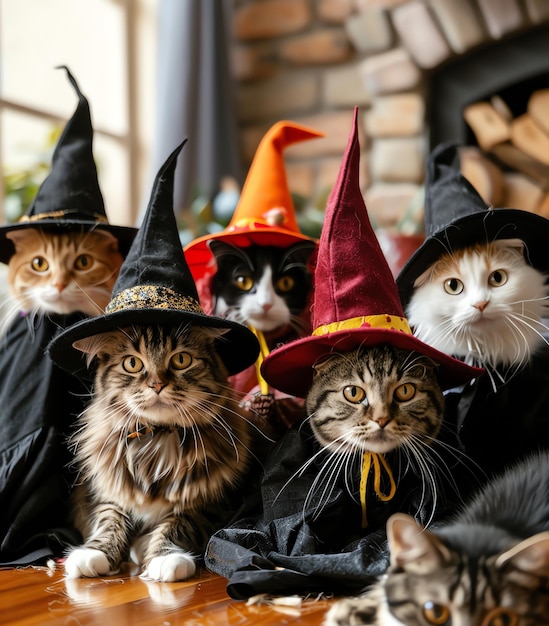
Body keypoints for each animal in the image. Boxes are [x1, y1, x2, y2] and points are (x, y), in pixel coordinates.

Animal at [62, 322, 253, 580]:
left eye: (181, 360)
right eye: (132, 363)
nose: (157, 385)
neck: (157, 438)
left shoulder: (210, 502)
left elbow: (178, 524)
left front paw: (165, 558)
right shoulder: (107, 491)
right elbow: (109, 518)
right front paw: (93, 554)